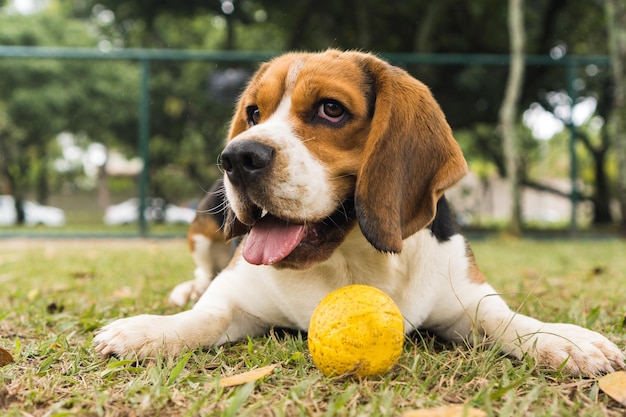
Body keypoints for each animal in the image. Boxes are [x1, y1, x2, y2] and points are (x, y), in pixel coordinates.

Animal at [95, 50, 620, 376]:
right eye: (254, 113)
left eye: (331, 109)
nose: (236, 157)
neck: (350, 259)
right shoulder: (236, 296)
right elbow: (204, 316)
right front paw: (148, 329)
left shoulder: (465, 295)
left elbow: (504, 318)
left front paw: (564, 341)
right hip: (207, 219)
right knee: (202, 271)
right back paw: (185, 289)